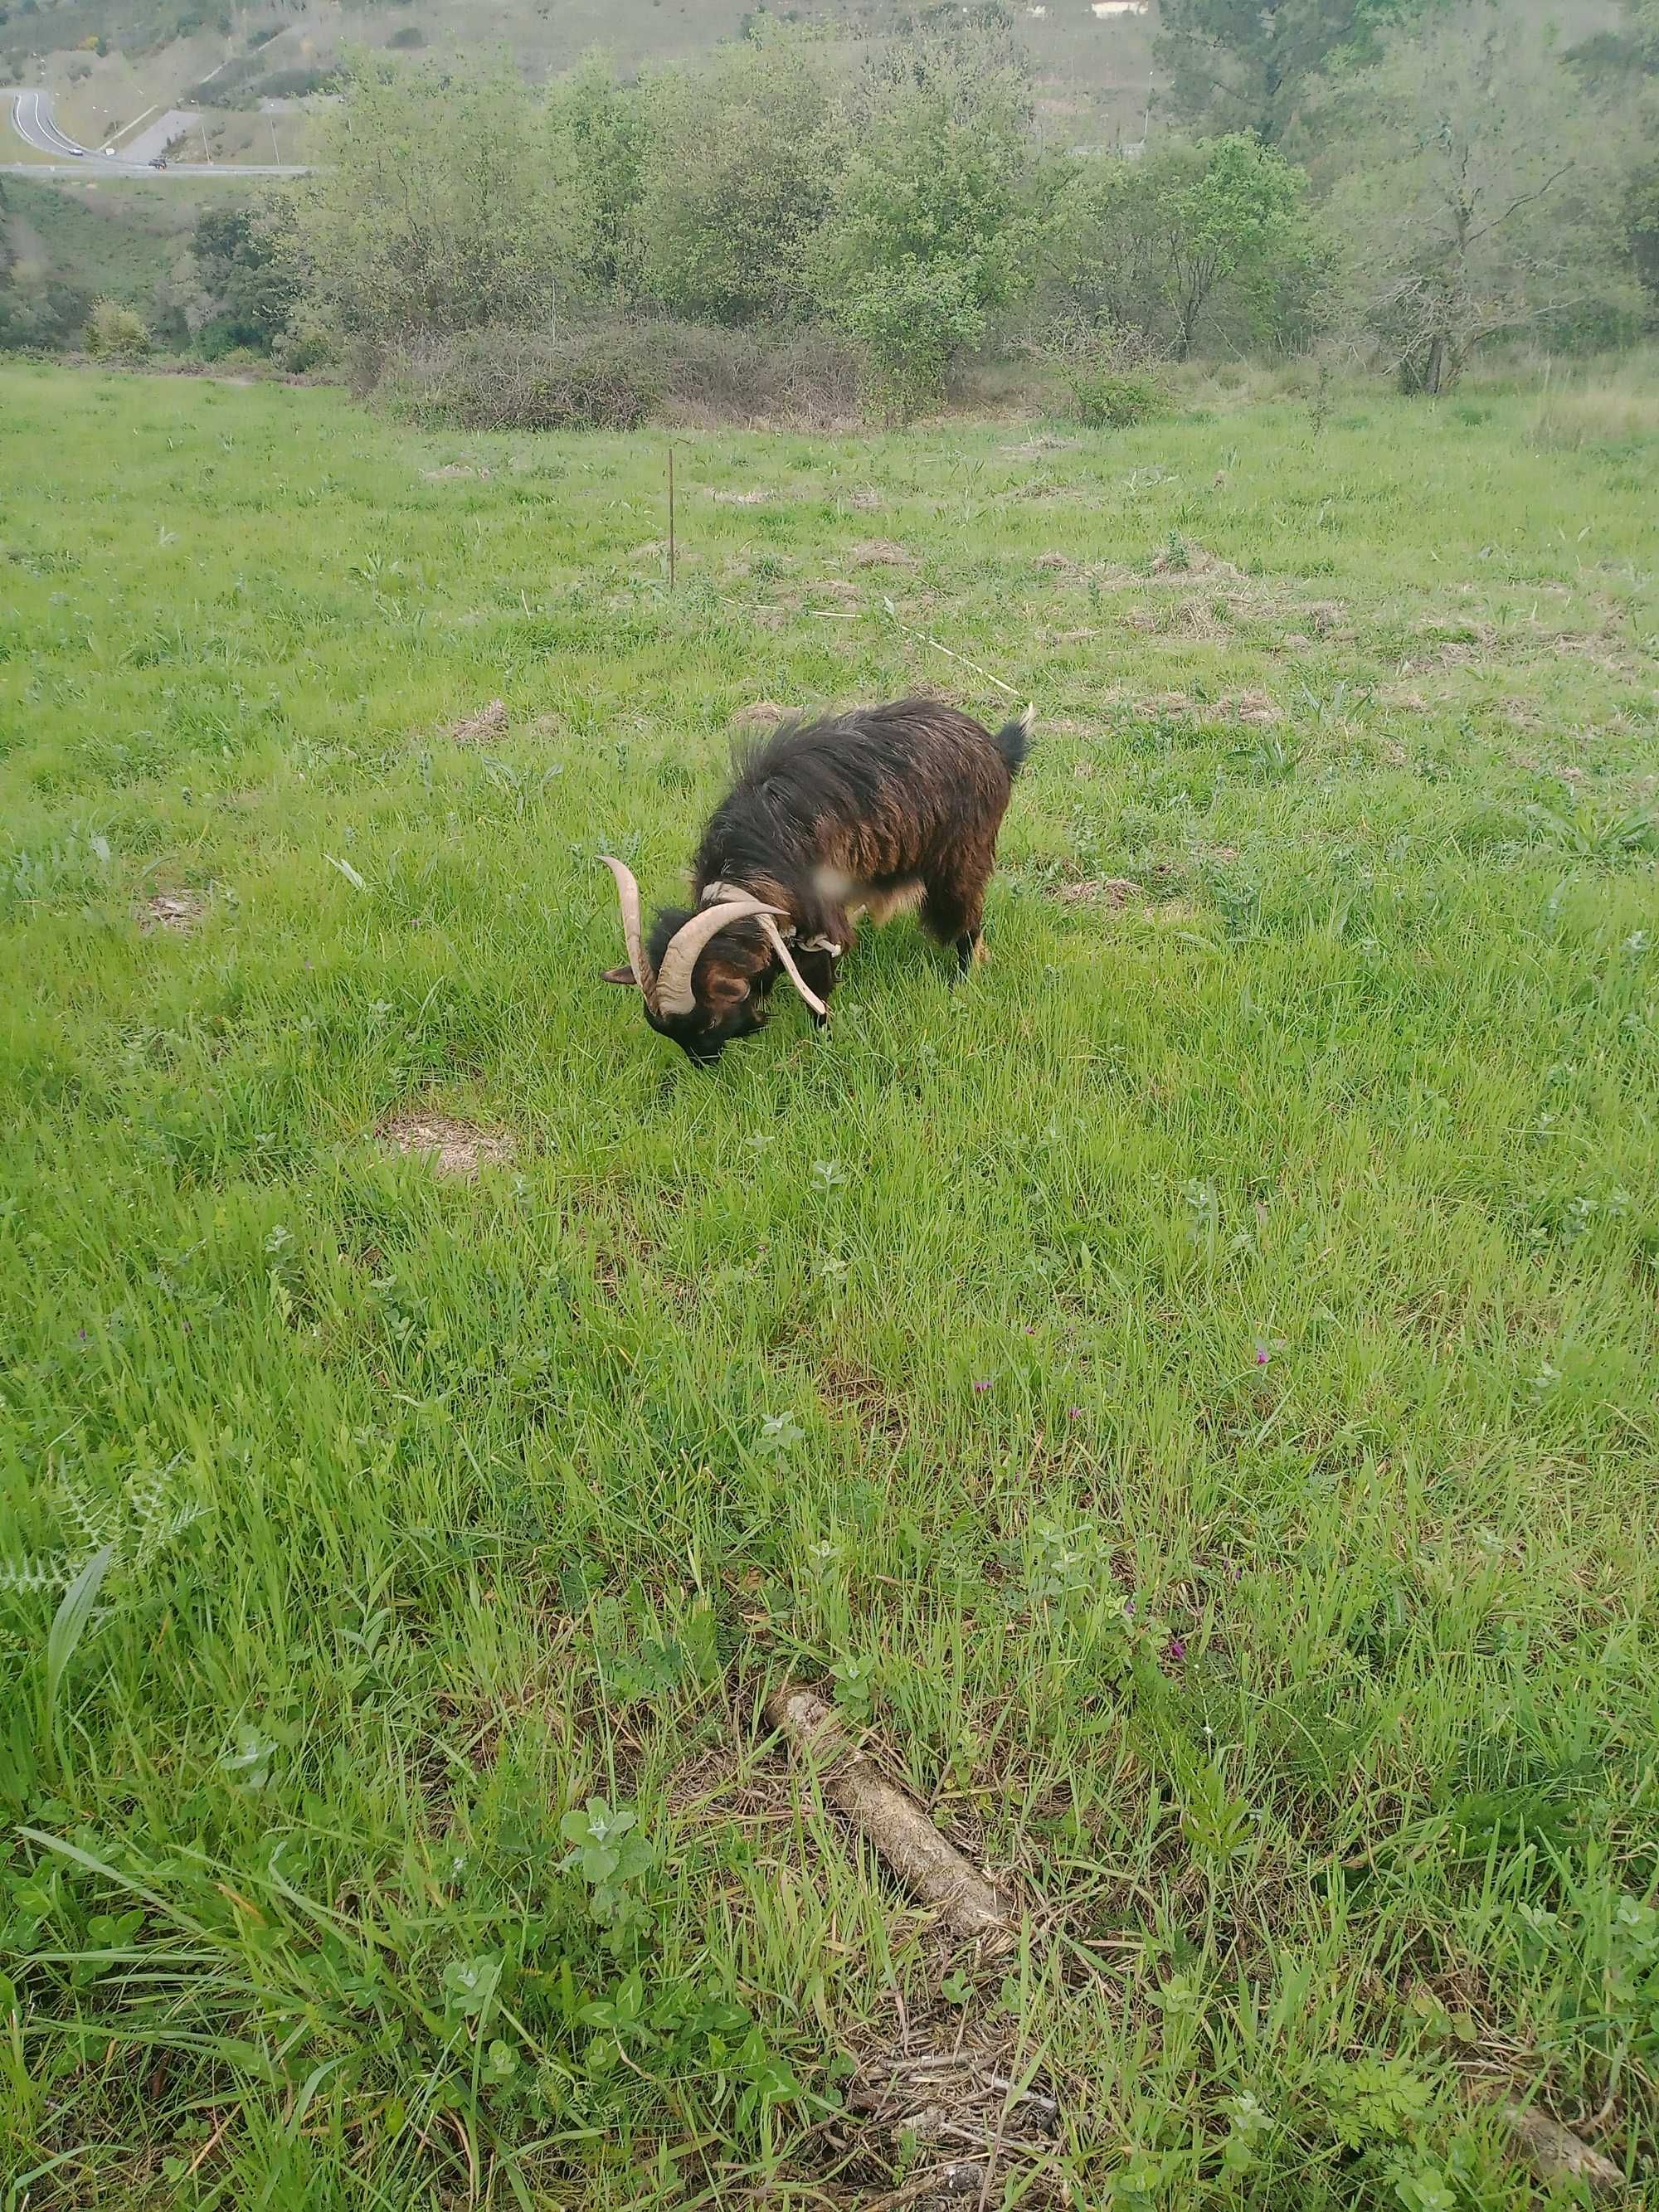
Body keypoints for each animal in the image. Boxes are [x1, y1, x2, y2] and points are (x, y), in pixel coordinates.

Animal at [606, 694, 1035, 1066]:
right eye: (669, 1033)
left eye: (708, 1020)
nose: (705, 1063)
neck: (758, 849)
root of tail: (995, 746)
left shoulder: (820, 920)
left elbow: (818, 989)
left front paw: (820, 1040)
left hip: (960, 859)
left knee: (967, 925)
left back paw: (960, 982)